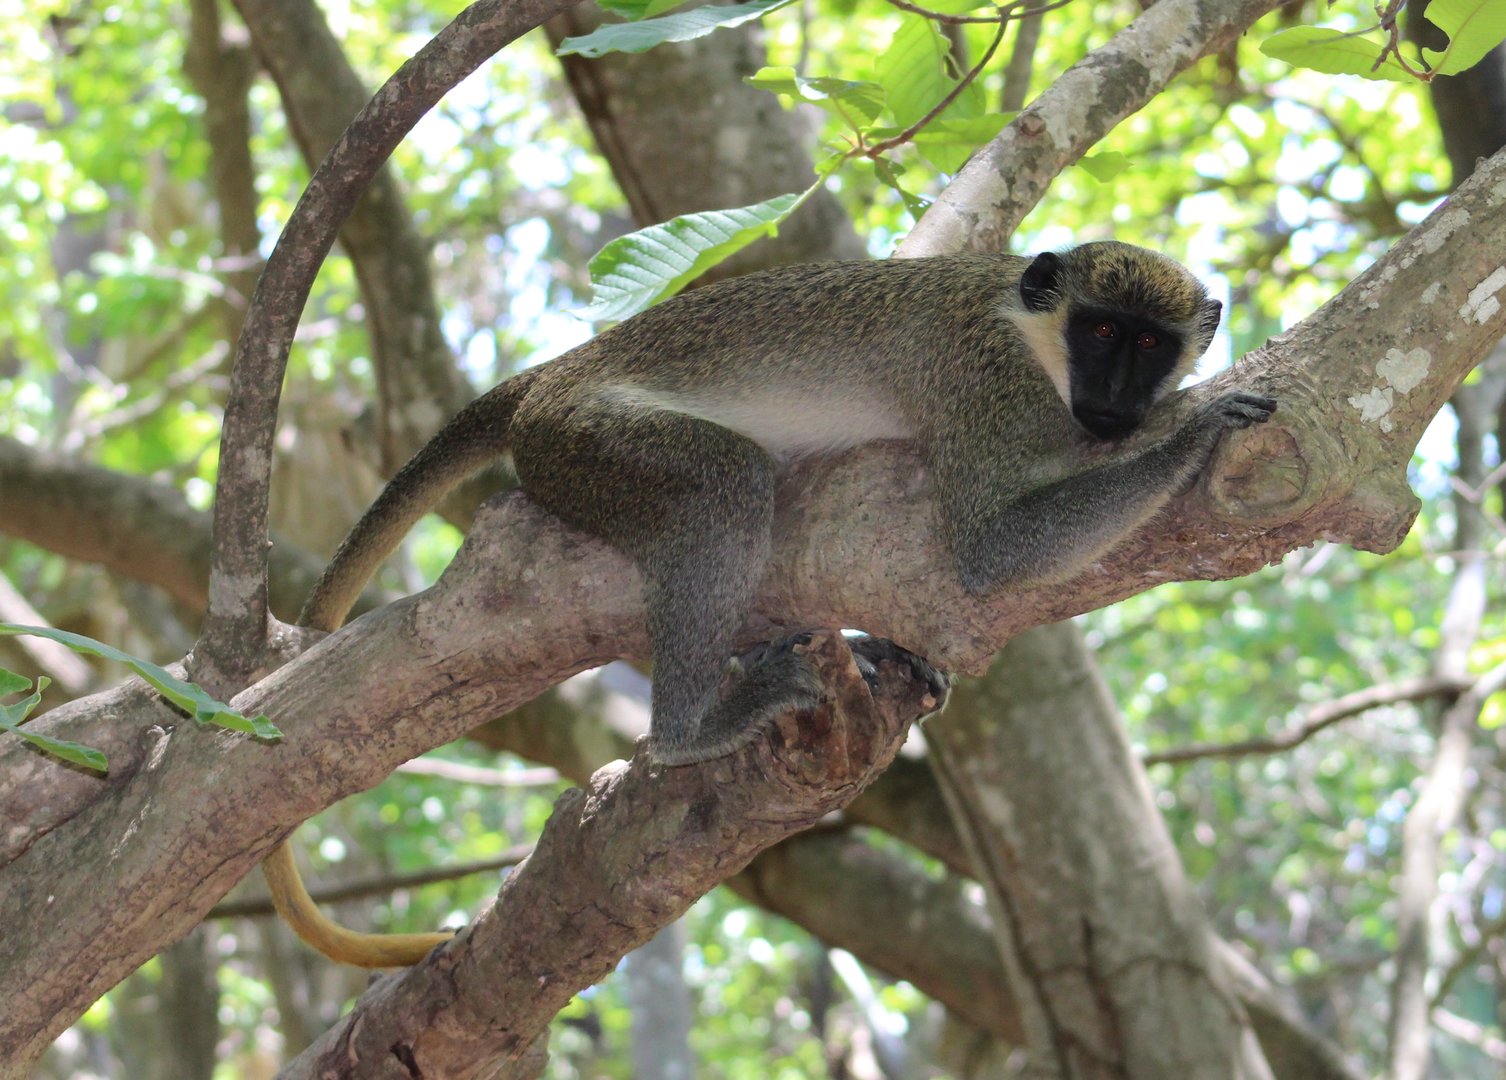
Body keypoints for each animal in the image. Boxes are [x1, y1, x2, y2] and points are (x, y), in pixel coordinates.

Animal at [263, 241, 1277, 967]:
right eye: (1102, 335)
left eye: (1149, 344)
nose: (1117, 402)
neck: (1030, 335)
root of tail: (559, 371)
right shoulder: (990, 386)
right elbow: (992, 550)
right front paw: (1186, 434)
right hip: (583, 441)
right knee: (725, 487)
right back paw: (690, 731)